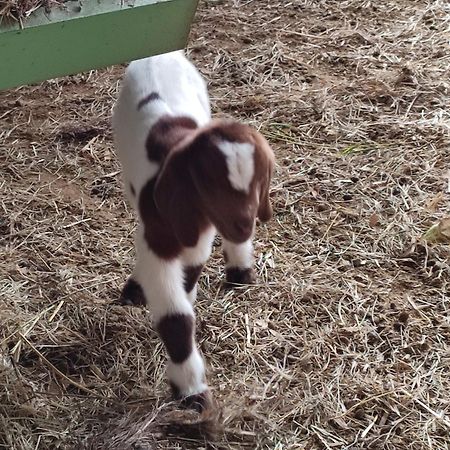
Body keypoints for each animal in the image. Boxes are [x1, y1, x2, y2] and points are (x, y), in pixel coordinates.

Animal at [112, 51, 274, 414]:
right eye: (209, 184)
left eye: (260, 180)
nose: (244, 224)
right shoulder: (159, 241)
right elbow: (176, 317)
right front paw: (191, 391)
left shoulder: (200, 239)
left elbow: (186, 287)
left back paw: (240, 269)